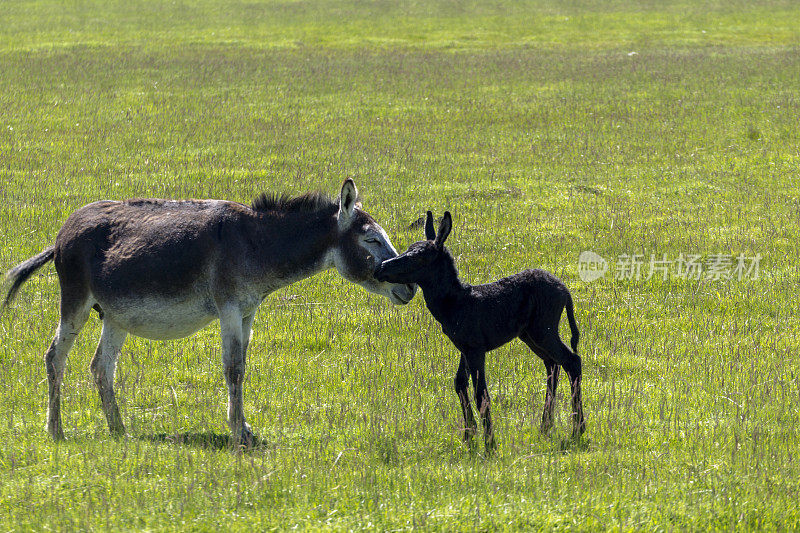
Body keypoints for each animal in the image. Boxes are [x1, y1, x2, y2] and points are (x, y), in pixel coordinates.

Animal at [376, 210, 588, 450]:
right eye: (408, 249)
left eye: (420, 256)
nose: (380, 268)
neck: (452, 306)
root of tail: (566, 292)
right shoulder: (464, 346)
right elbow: (459, 383)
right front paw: (469, 437)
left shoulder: (475, 346)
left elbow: (481, 393)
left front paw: (489, 444)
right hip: (530, 334)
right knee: (553, 364)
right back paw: (546, 427)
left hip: (545, 327)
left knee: (571, 360)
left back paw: (577, 429)